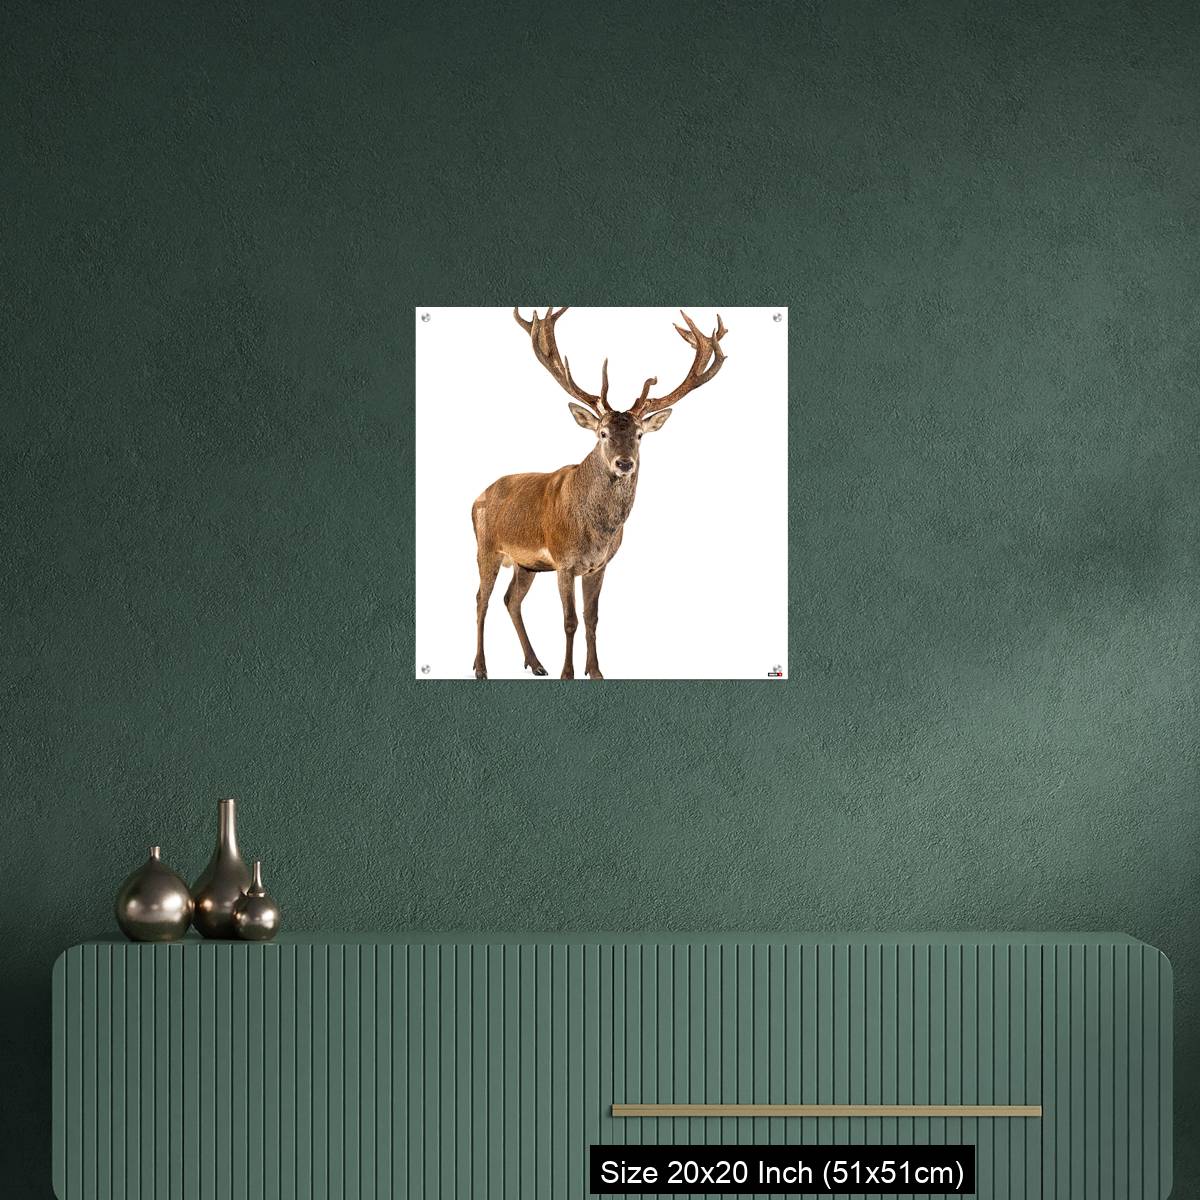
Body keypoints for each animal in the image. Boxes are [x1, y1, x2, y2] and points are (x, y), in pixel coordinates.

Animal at [471, 306, 728, 680]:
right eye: (603, 433)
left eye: (639, 435)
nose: (624, 463)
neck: (596, 532)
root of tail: (477, 497)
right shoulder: (564, 561)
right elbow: (570, 621)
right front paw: (567, 673)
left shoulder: (599, 566)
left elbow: (592, 619)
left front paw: (595, 672)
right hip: (486, 547)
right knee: (481, 599)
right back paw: (481, 667)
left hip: (526, 563)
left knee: (511, 600)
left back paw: (536, 663)